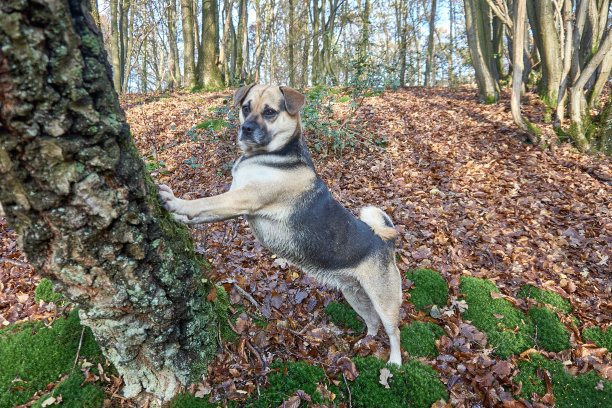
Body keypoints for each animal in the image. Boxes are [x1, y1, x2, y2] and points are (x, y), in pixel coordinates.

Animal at [160, 84, 404, 364]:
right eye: (246, 108)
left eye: (270, 112)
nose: (246, 129)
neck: (272, 154)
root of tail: (386, 242)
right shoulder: (234, 202)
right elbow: (204, 212)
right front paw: (179, 219)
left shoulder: (242, 199)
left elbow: (203, 203)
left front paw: (176, 203)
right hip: (355, 295)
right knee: (372, 322)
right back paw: (366, 342)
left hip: (384, 301)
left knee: (394, 331)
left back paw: (395, 362)